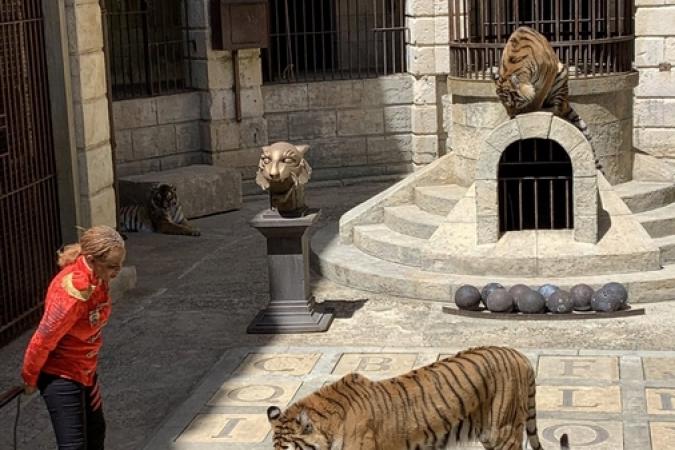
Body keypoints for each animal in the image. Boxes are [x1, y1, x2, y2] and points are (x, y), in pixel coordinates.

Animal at [492, 25, 604, 172]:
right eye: (504, 105)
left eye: (512, 103)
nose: (511, 115)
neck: (513, 67)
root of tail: (566, 101)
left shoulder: (549, 71)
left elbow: (538, 98)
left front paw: (532, 110)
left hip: (561, 74)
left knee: (557, 108)